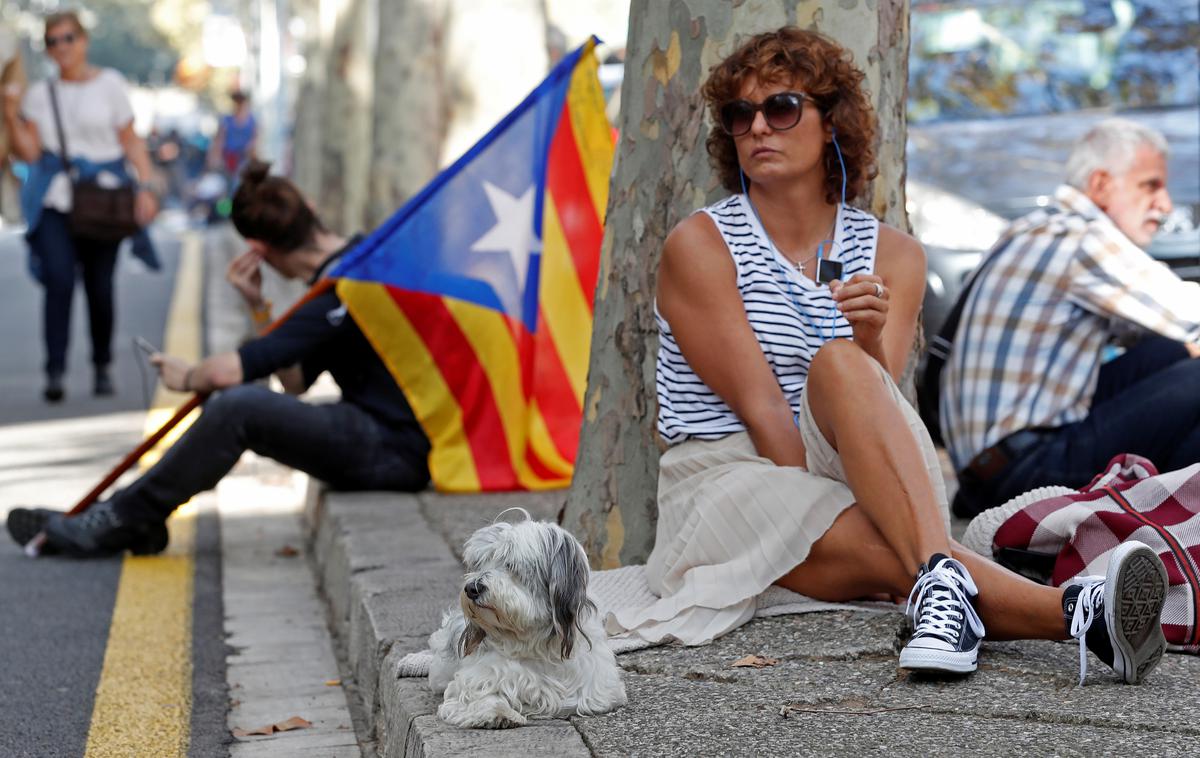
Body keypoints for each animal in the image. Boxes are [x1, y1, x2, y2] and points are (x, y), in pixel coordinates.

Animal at [427, 515, 628, 729]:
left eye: (510, 564)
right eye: (479, 563)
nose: (471, 588)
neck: (532, 642)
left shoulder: (599, 691)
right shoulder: (475, 680)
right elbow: (477, 696)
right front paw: (499, 712)